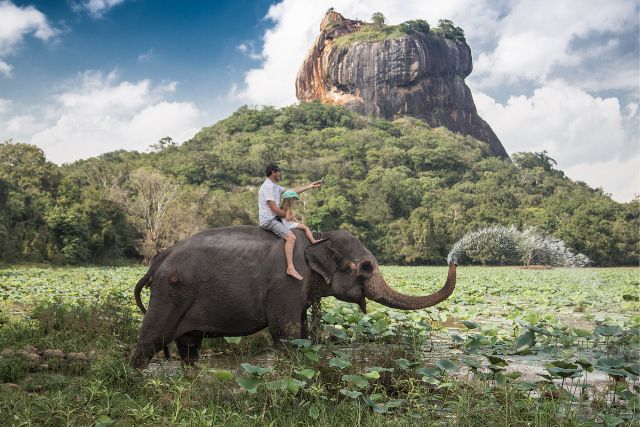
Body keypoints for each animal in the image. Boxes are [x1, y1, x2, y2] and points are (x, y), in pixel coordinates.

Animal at [130, 226, 456, 370]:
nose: (453, 259)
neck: (318, 240)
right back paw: (135, 380)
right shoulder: (286, 284)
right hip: (169, 293)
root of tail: (157, 262)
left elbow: (300, 331)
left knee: (189, 346)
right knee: (150, 341)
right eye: (366, 267)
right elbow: (284, 332)